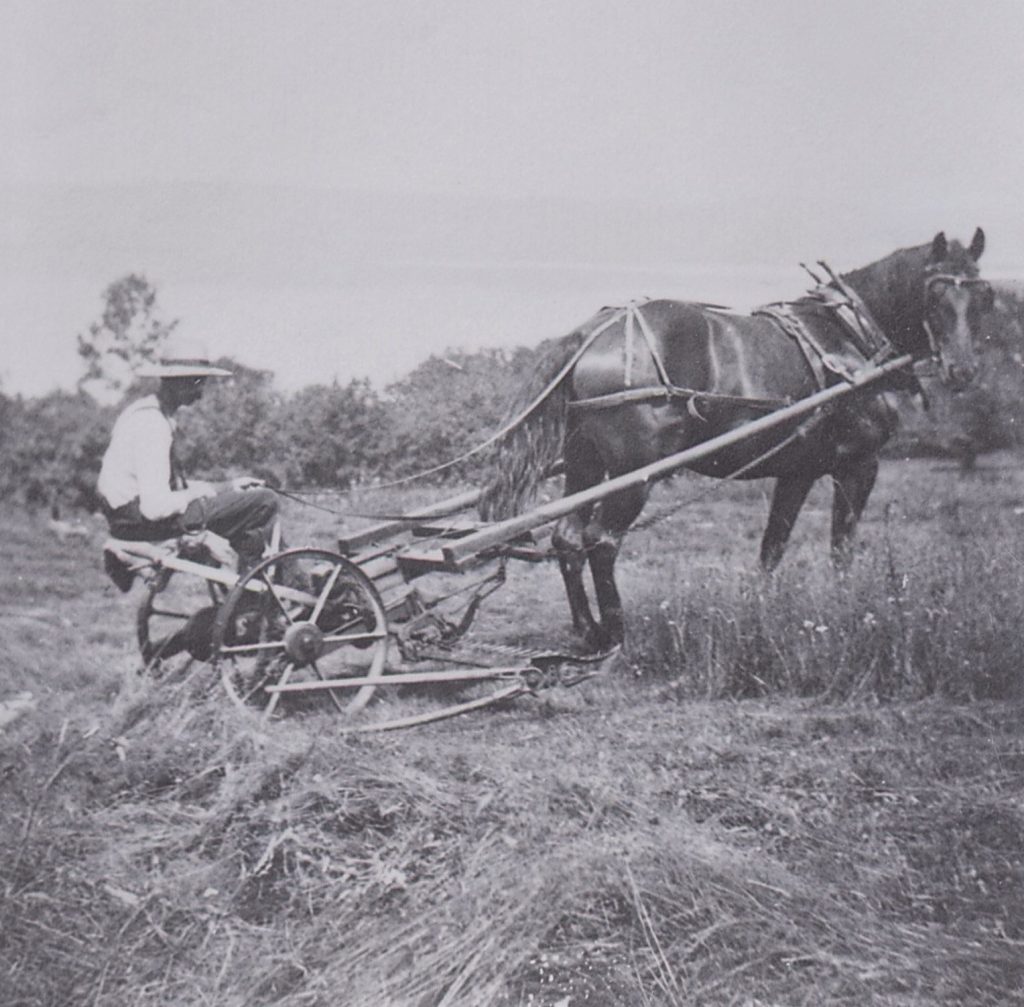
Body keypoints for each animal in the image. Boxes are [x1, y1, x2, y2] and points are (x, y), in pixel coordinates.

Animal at [483, 231, 995, 651]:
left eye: (983, 297)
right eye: (934, 294)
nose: (963, 370)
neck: (852, 338)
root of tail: (589, 336)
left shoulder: (797, 471)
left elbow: (772, 548)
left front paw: (761, 613)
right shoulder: (859, 465)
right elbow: (841, 548)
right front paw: (848, 607)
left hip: (585, 465)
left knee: (567, 539)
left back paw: (587, 629)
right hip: (633, 473)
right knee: (601, 541)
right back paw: (616, 633)